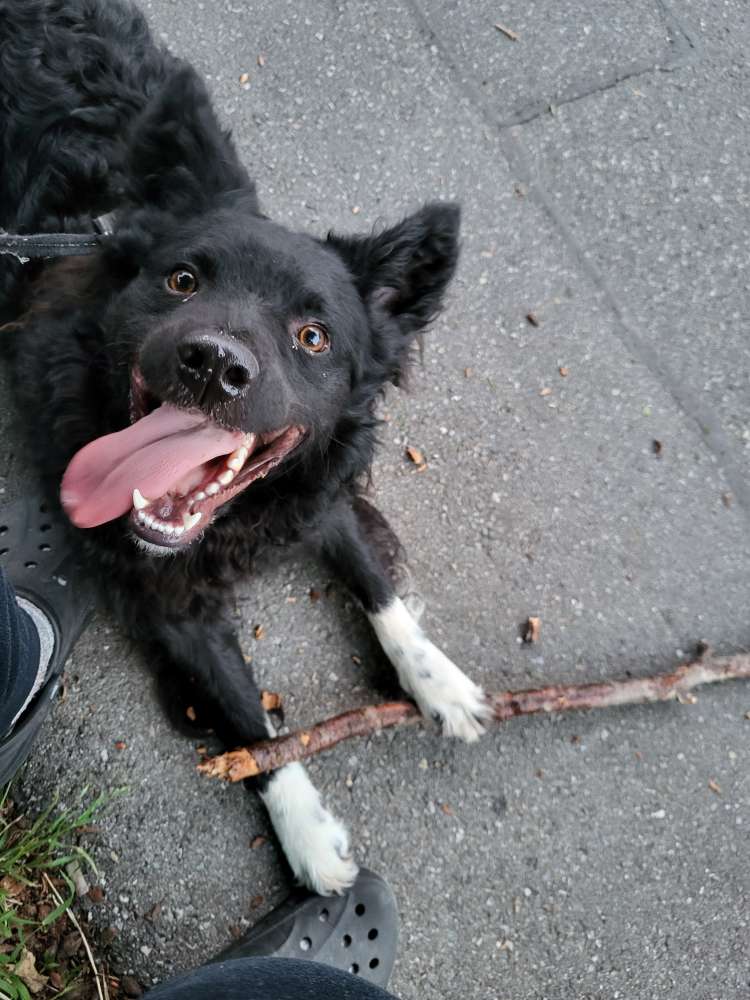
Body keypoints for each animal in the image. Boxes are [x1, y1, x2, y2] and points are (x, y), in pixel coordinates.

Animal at [0, 0, 490, 892]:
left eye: (313, 336)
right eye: (183, 280)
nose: (214, 364)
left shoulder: (316, 488)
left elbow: (377, 586)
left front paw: (437, 680)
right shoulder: (168, 597)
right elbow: (246, 714)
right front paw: (309, 838)